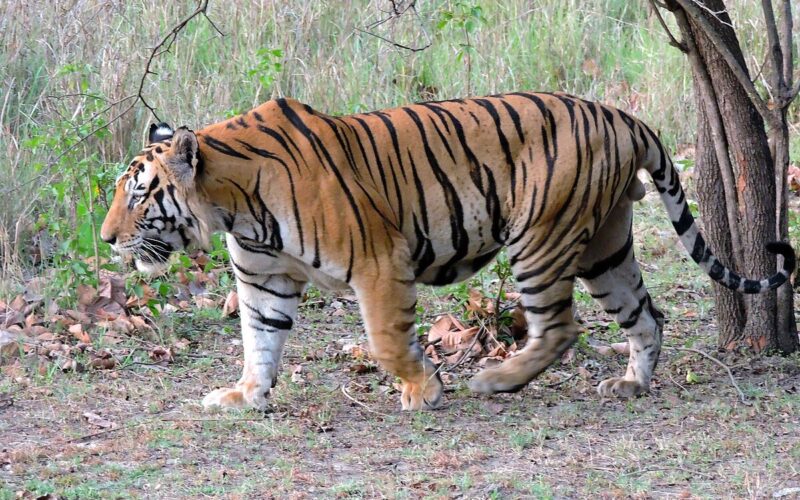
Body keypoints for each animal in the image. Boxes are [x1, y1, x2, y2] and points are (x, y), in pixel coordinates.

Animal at [98, 93, 792, 410]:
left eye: (138, 194)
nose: (105, 240)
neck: (234, 206)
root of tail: (624, 116)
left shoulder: (379, 262)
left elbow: (385, 341)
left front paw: (425, 389)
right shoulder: (265, 281)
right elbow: (259, 342)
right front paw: (243, 396)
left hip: (540, 239)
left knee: (560, 326)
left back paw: (498, 379)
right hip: (607, 245)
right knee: (648, 316)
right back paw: (630, 383)